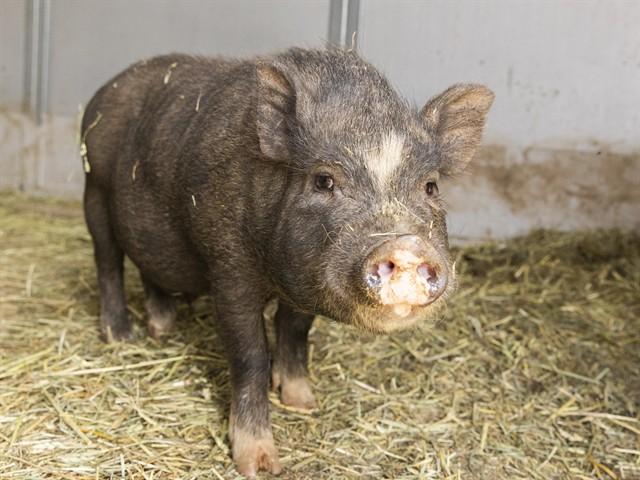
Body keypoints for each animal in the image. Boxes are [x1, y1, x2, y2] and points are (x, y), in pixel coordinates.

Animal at [81, 47, 493, 477]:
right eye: (324, 180)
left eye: (430, 186)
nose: (407, 244)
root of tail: (106, 89)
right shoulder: (227, 268)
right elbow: (250, 355)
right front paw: (259, 464)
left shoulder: (305, 283)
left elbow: (295, 331)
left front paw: (304, 403)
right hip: (94, 189)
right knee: (108, 262)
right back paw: (120, 336)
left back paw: (162, 329)